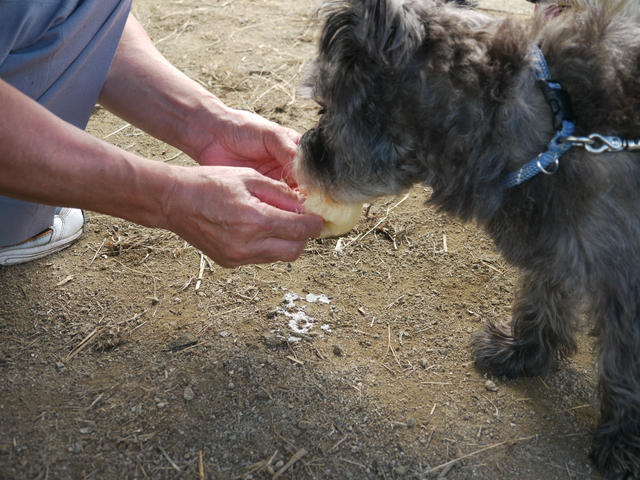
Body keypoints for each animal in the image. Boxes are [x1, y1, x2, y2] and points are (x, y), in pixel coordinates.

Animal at [298, 0, 640, 476]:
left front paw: (622, 440)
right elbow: (543, 298)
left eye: (324, 107)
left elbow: (624, 366)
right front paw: (525, 352)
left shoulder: (624, 285)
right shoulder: (558, 241)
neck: (553, 125)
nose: (302, 145)